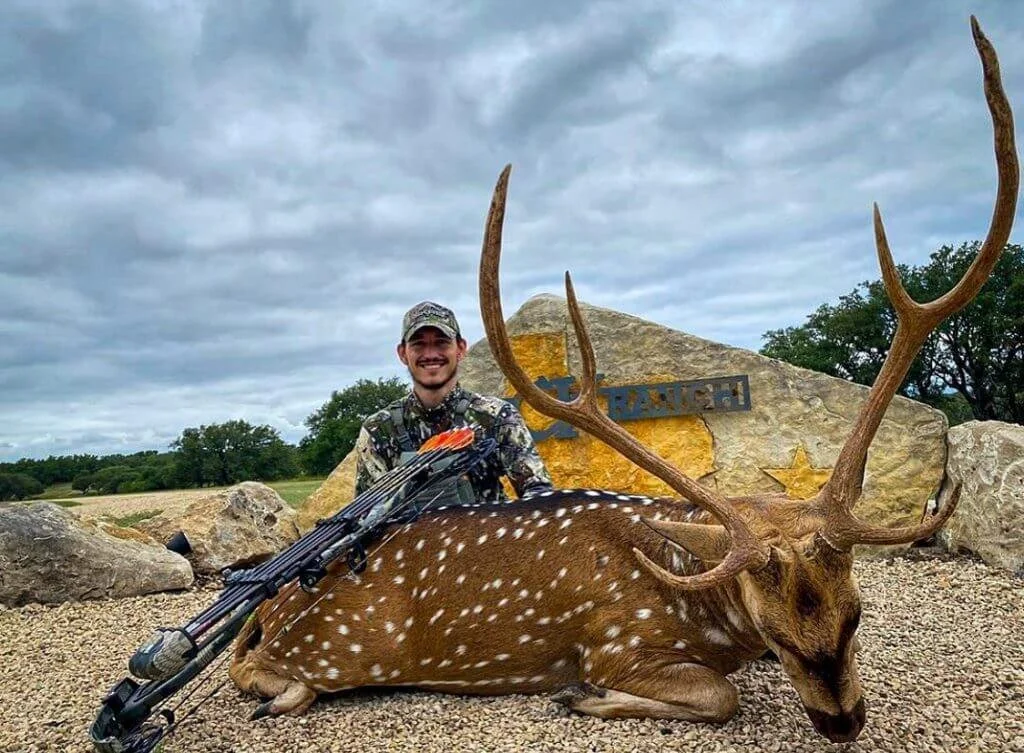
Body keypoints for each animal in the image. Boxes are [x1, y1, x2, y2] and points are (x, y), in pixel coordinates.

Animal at [227, 17, 1017, 744]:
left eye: (856, 614)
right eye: (777, 631)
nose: (844, 721)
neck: (698, 595)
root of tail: (267, 605)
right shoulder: (617, 640)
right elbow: (718, 694)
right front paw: (579, 695)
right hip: (334, 650)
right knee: (256, 670)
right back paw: (280, 691)